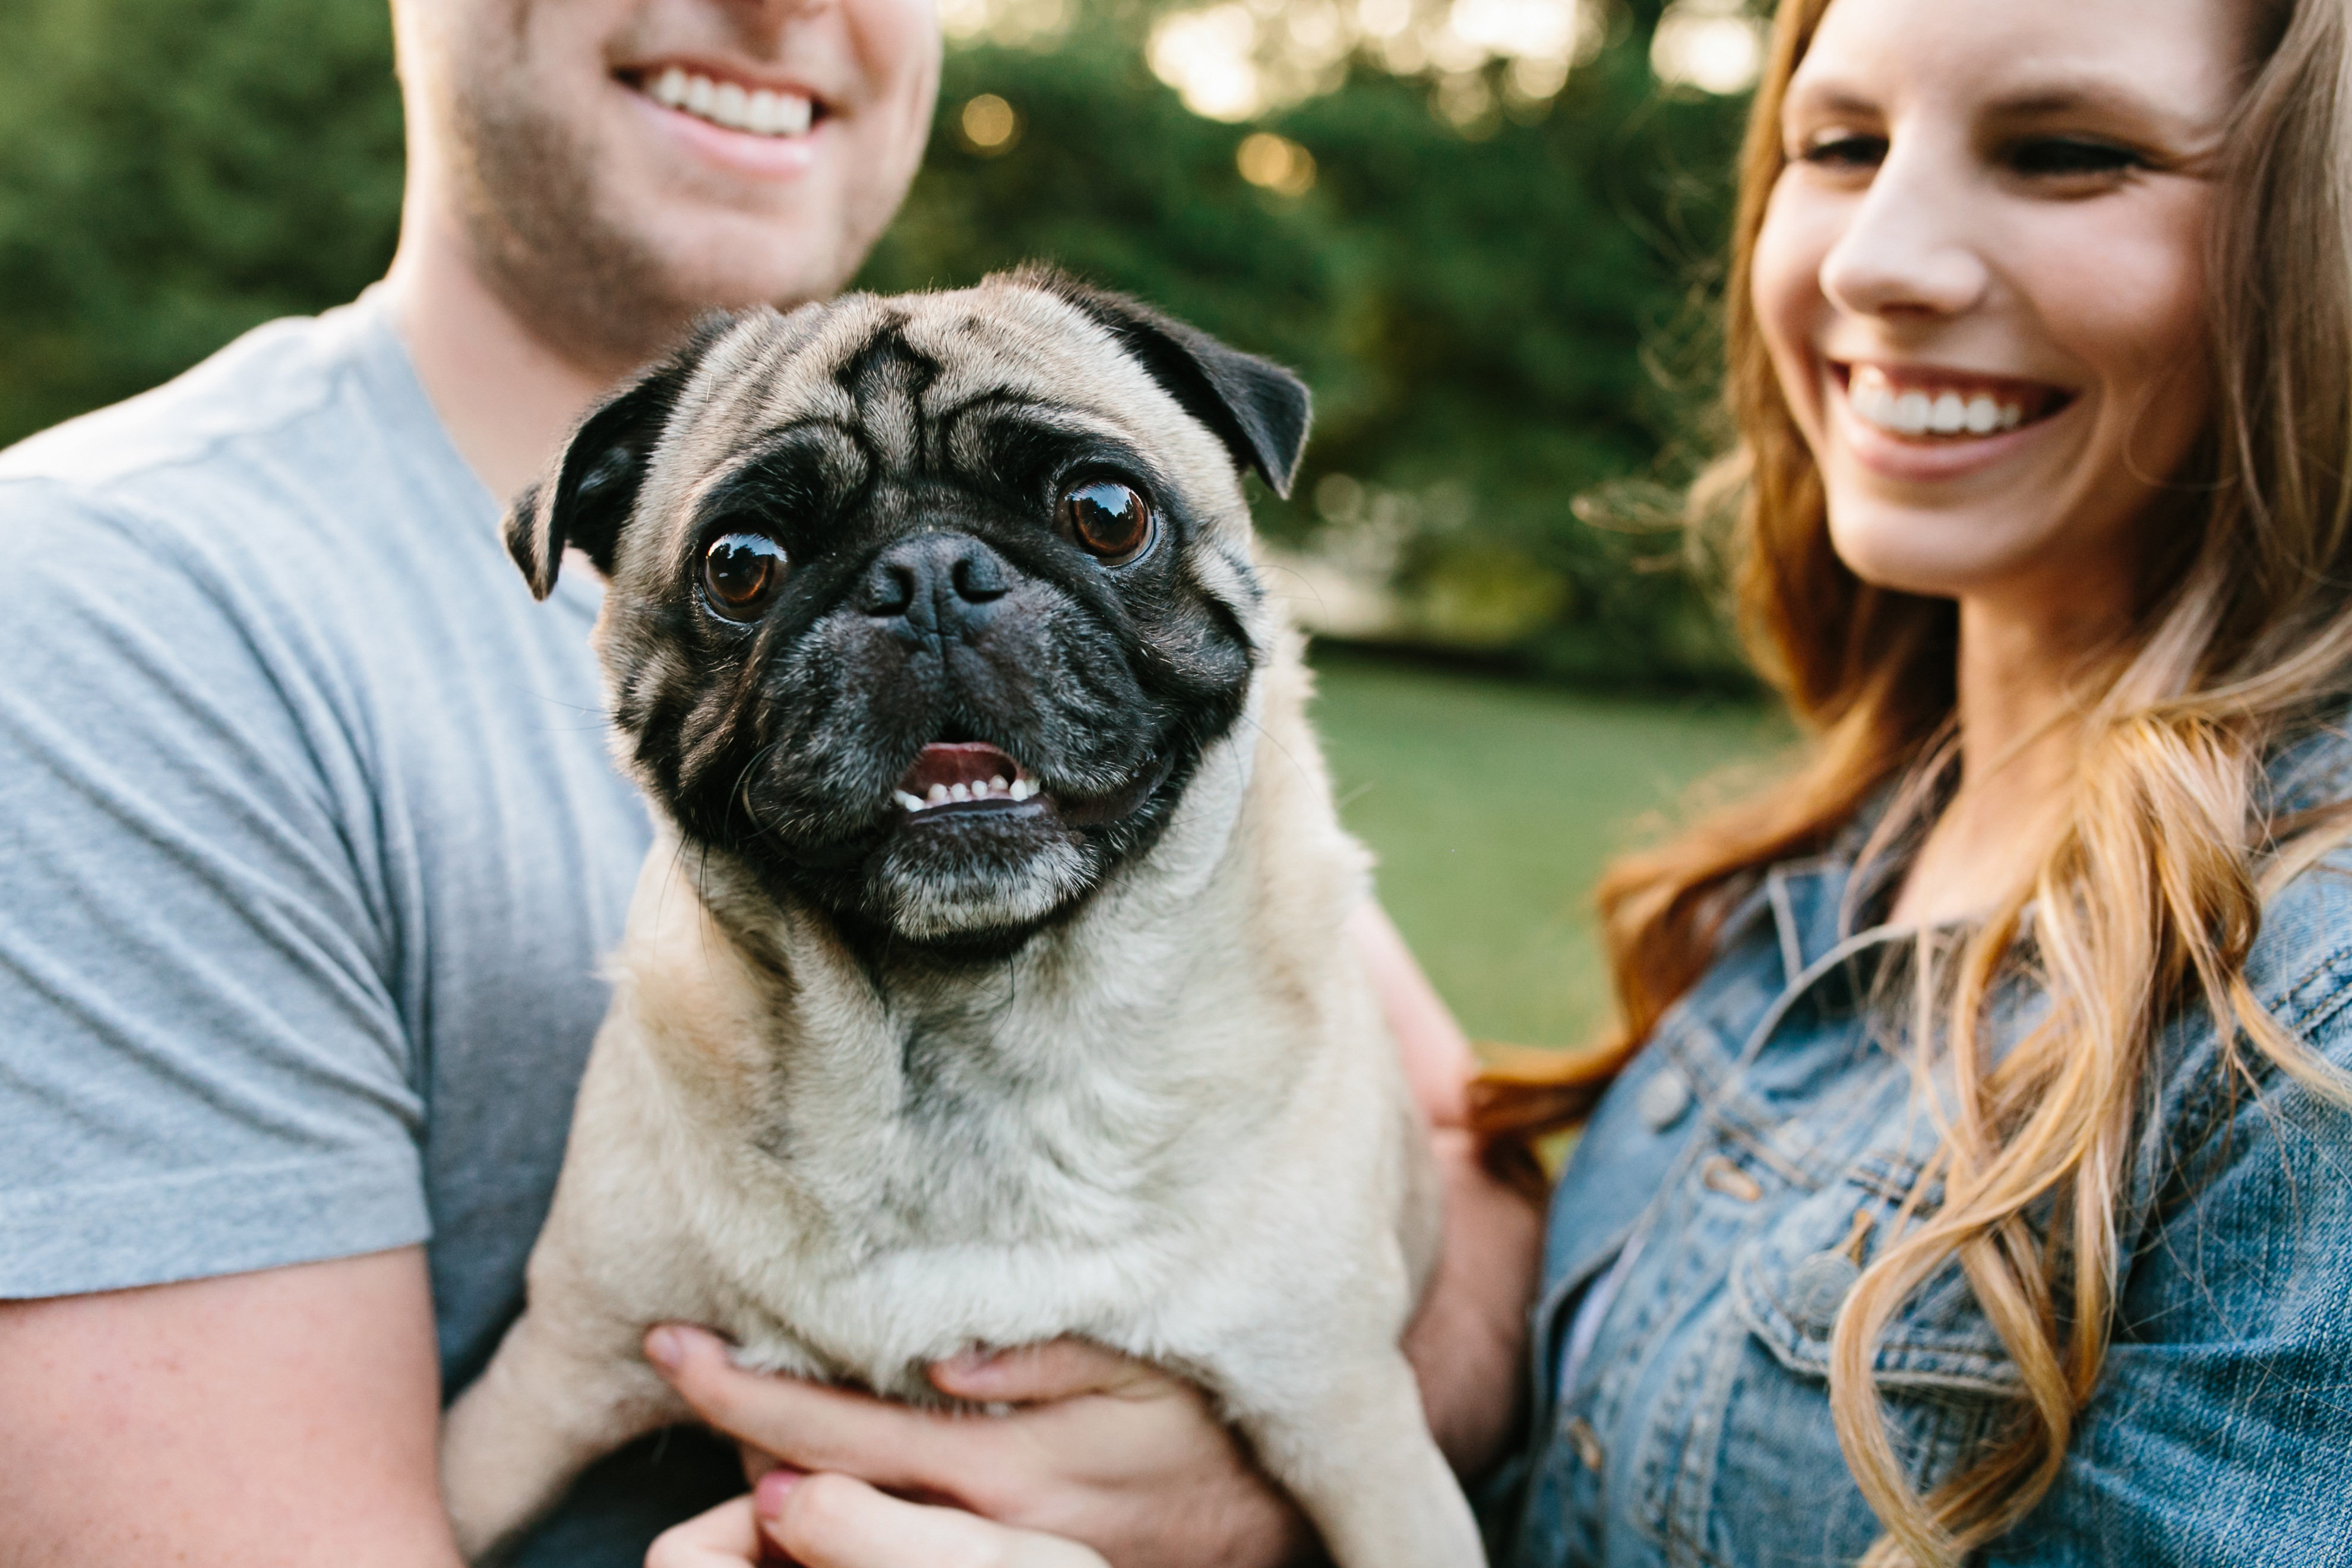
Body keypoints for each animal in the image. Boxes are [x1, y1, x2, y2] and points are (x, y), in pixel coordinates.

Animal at [432, 270, 1477, 1568]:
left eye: (1107, 512)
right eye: (740, 565)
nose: (926, 573)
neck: (968, 1039)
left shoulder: (1348, 1426)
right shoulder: (549, 1378)